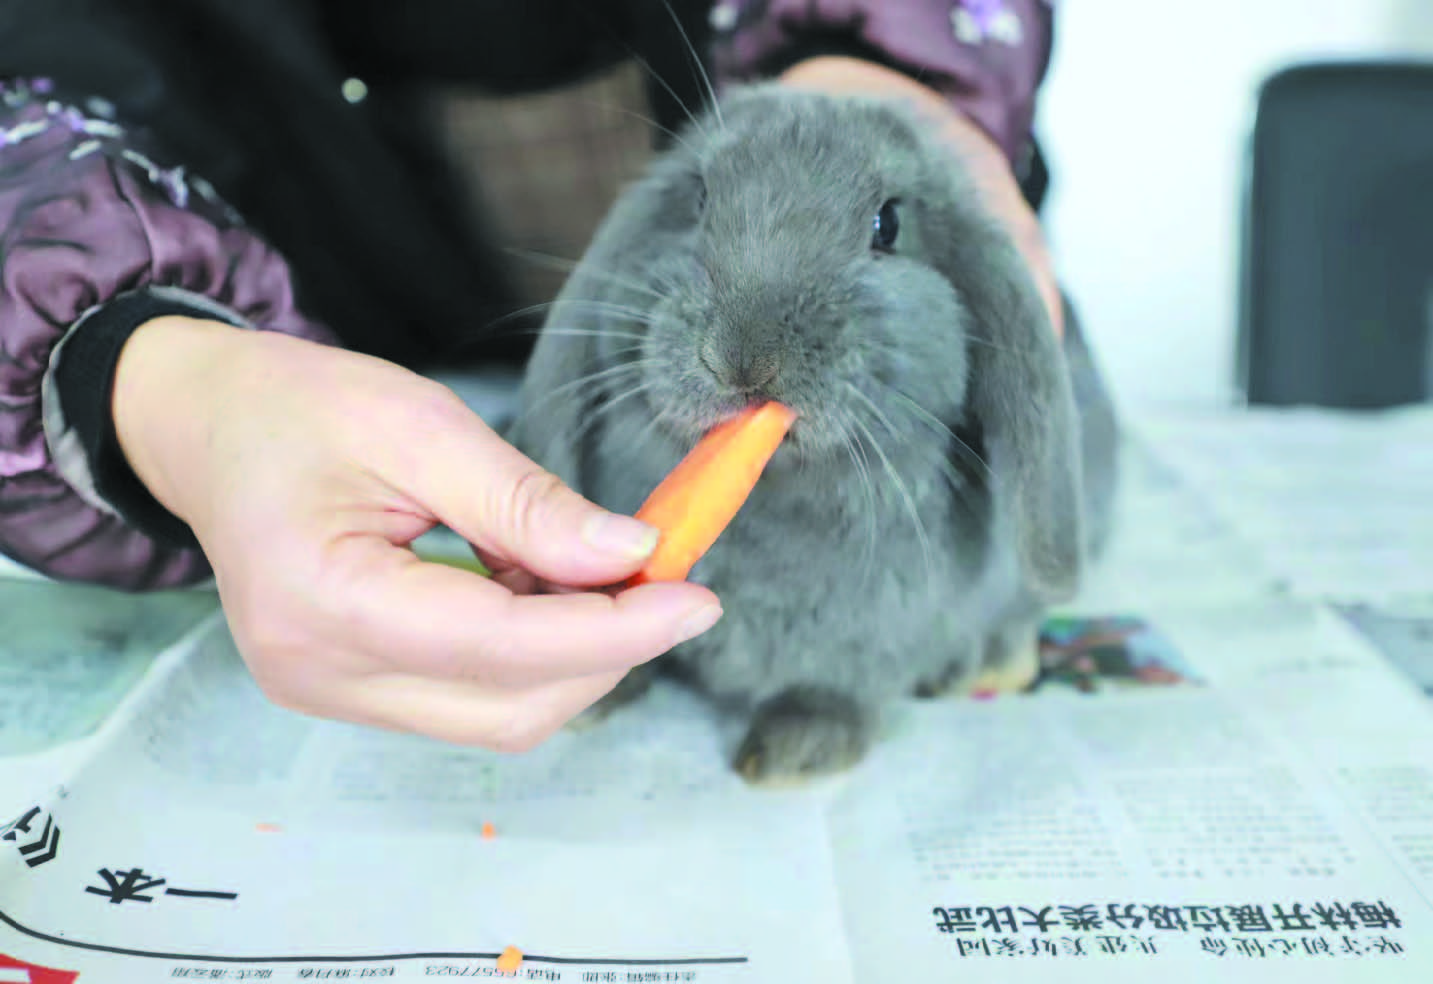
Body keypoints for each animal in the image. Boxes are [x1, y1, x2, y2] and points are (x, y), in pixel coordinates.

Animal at [506, 82, 1119, 785]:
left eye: (888, 224)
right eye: (699, 198)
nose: (743, 357)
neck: (768, 499)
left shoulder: (872, 634)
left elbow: (834, 685)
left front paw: (791, 755)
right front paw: (595, 691)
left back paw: (985, 670)